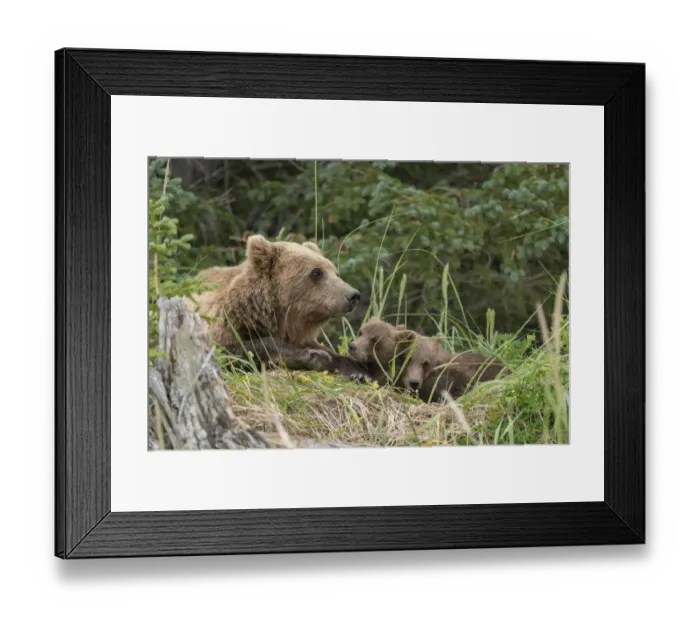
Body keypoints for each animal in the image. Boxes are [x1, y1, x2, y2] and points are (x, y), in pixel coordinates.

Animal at [192, 235, 367, 377]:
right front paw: (313, 356)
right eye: (316, 272)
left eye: (333, 271)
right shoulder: (222, 323)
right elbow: (233, 350)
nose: (353, 295)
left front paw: (357, 371)